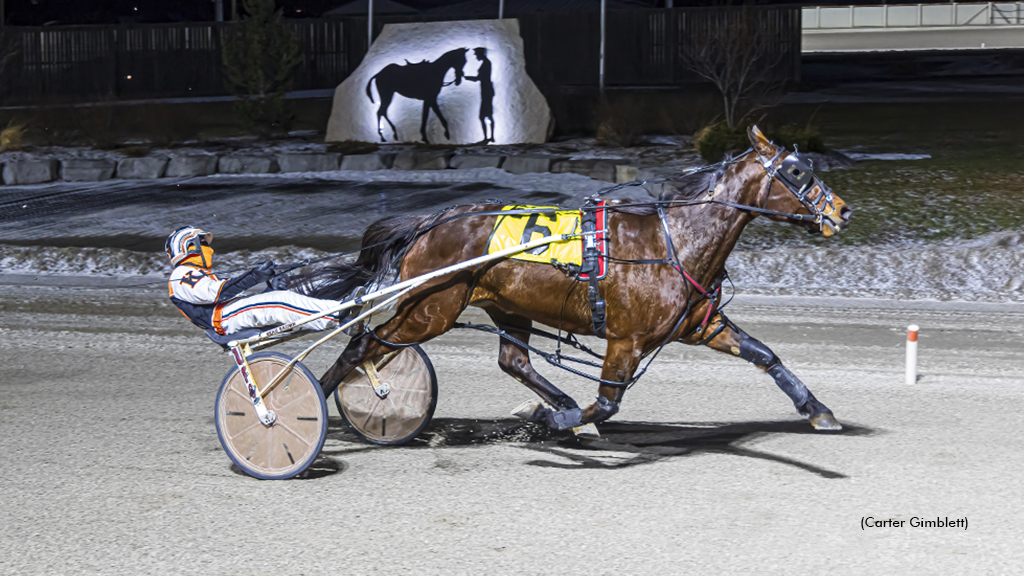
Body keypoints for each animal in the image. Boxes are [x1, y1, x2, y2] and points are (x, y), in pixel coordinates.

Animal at [307, 125, 851, 430]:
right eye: (797, 172)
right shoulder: (626, 339)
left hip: (505, 305)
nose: (842, 211)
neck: (673, 241)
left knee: (511, 361)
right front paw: (554, 420)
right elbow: (607, 403)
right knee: (364, 344)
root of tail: (431, 221)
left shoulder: (702, 324)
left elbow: (765, 355)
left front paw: (818, 410)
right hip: (430, 308)